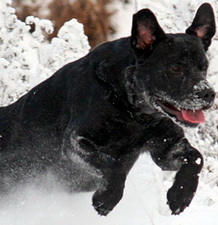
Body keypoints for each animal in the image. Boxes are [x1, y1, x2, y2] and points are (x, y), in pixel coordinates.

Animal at [0, 3, 215, 214]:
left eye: (204, 67)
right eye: (175, 67)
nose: (208, 94)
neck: (134, 114)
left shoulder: (166, 148)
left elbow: (196, 158)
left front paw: (181, 195)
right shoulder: (76, 141)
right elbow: (113, 165)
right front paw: (107, 198)